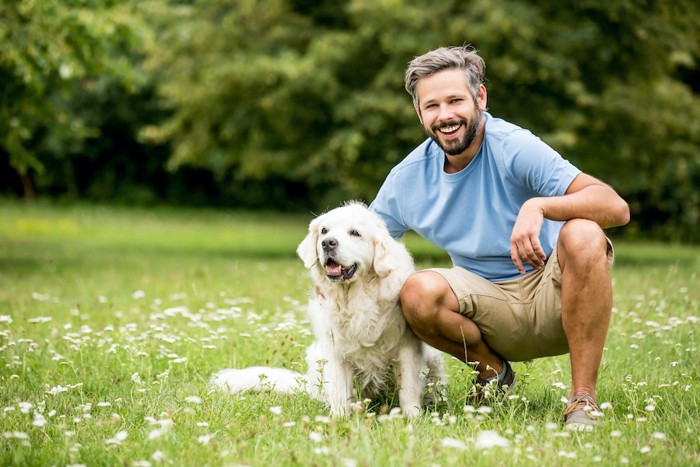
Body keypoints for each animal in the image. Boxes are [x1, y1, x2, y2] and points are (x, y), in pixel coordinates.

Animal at [211, 201, 446, 416]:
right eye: (324, 230)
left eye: (355, 233)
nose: (327, 243)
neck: (355, 297)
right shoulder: (336, 349)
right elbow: (340, 391)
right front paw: (338, 419)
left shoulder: (407, 346)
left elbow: (408, 388)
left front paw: (412, 419)